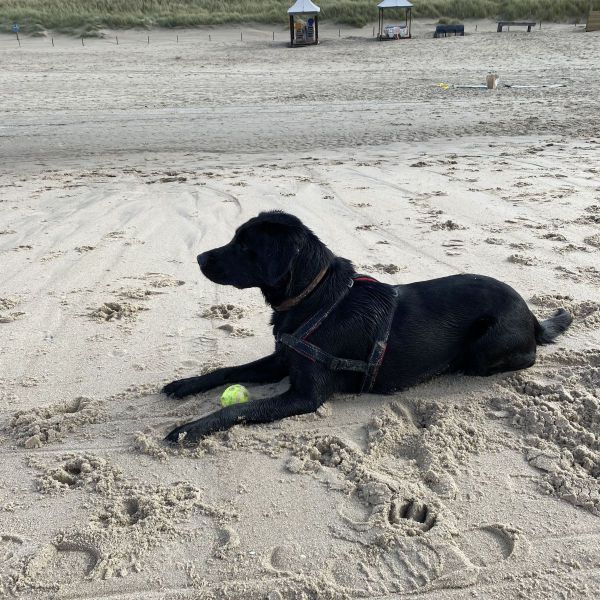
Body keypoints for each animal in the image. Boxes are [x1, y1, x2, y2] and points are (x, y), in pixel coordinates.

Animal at [163, 209, 572, 442]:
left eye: (245, 246)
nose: (199, 258)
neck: (316, 296)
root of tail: (532, 316)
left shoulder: (305, 396)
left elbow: (236, 409)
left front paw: (188, 429)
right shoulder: (282, 359)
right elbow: (226, 370)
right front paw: (185, 385)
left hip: (485, 347)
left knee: (522, 358)